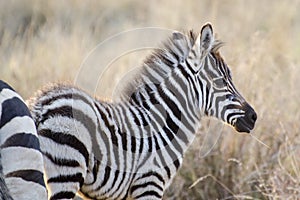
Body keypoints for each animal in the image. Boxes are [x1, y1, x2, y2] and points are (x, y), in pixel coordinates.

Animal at [29, 23, 256, 198]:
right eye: (221, 81)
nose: (254, 117)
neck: (164, 123)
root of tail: (41, 105)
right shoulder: (149, 182)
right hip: (66, 169)